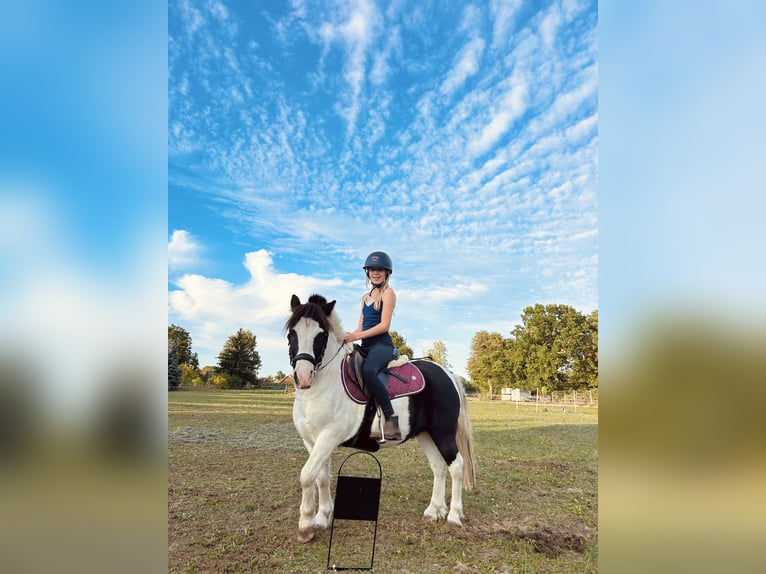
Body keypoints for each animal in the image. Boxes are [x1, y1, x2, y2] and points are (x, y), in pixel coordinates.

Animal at [284, 293, 477, 543]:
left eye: (321, 335)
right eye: (292, 334)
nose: (303, 376)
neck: (324, 385)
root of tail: (448, 374)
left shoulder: (329, 437)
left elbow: (307, 475)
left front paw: (305, 527)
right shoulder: (312, 441)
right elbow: (321, 477)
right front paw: (321, 519)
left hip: (443, 433)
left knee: (456, 466)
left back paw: (453, 515)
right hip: (426, 434)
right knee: (438, 466)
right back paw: (434, 511)